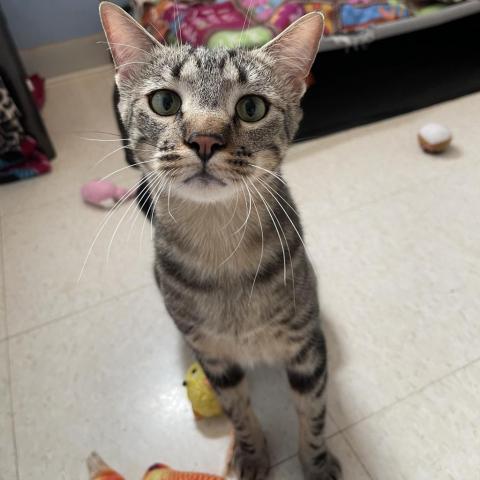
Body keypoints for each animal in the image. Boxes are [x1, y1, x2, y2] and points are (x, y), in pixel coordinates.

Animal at [100, 2, 342, 476]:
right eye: (164, 101)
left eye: (251, 107)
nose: (205, 139)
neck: (220, 247)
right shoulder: (214, 358)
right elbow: (238, 412)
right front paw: (252, 454)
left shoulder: (306, 345)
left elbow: (313, 412)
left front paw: (316, 463)